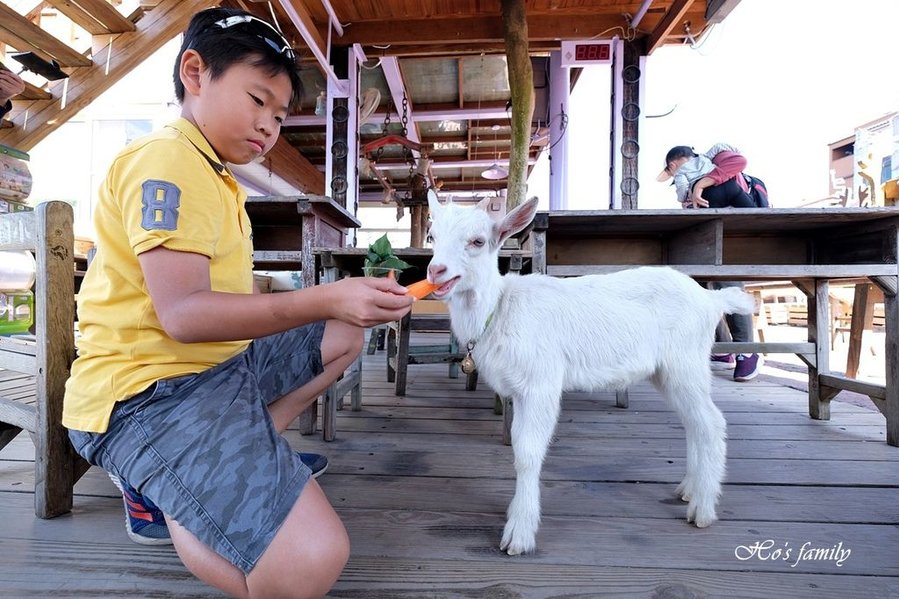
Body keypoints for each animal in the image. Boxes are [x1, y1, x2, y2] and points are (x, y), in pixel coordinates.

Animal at [426, 195, 756, 556]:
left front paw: (520, 532)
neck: (499, 308)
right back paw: (689, 489)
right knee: (693, 423)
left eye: (478, 241)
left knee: (711, 423)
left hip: (686, 361)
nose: (435, 271)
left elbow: (527, 453)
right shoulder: (518, 390)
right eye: (432, 236)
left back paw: (703, 509)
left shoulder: (540, 383)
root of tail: (710, 299)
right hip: (667, 371)